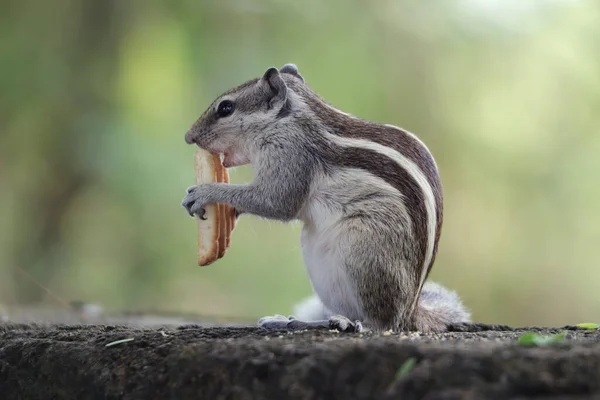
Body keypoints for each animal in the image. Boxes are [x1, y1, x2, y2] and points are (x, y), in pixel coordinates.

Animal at [180, 63, 472, 332]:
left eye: (226, 108)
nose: (188, 136)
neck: (288, 119)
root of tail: (410, 313)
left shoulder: (291, 154)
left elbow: (277, 201)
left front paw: (206, 192)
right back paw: (294, 321)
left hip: (363, 250)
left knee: (380, 323)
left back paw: (347, 324)